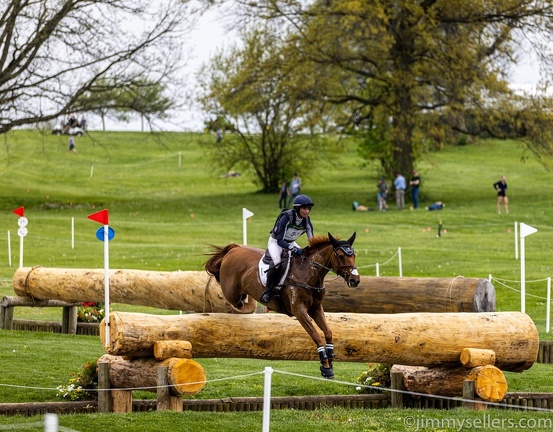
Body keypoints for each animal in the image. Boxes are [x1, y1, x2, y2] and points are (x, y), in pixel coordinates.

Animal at [205, 233, 360, 378]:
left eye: (354, 255)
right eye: (341, 256)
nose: (355, 280)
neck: (308, 272)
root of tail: (235, 248)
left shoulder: (316, 308)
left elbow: (328, 332)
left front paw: (330, 359)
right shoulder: (299, 310)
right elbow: (316, 335)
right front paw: (326, 366)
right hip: (231, 292)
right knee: (232, 296)